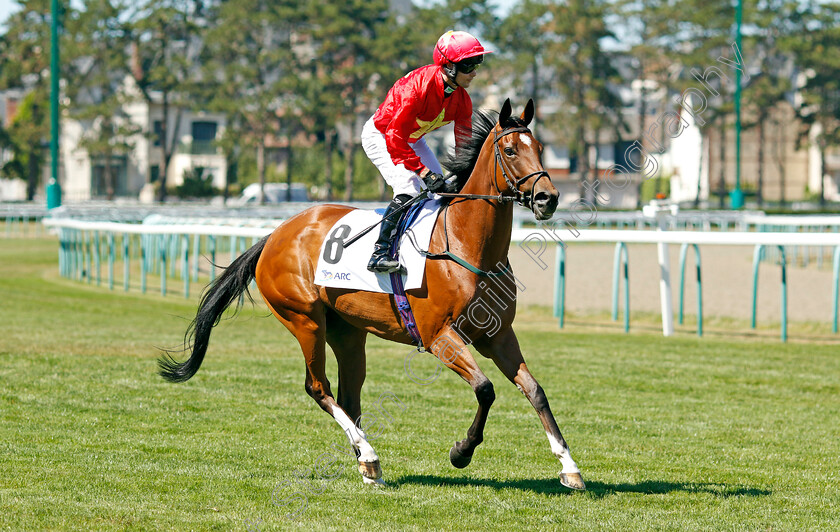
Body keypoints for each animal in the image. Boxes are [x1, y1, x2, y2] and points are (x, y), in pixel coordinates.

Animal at [161, 98, 588, 490]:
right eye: (511, 150)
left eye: (541, 148)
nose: (548, 198)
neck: (466, 244)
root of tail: (274, 235)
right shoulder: (440, 337)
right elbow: (485, 389)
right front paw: (461, 451)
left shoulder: (498, 335)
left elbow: (535, 391)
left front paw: (569, 467)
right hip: (304, 320)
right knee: (318, 387)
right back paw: (368, 453)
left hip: (348, 331)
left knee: (349, 395)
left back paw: (365, 461)